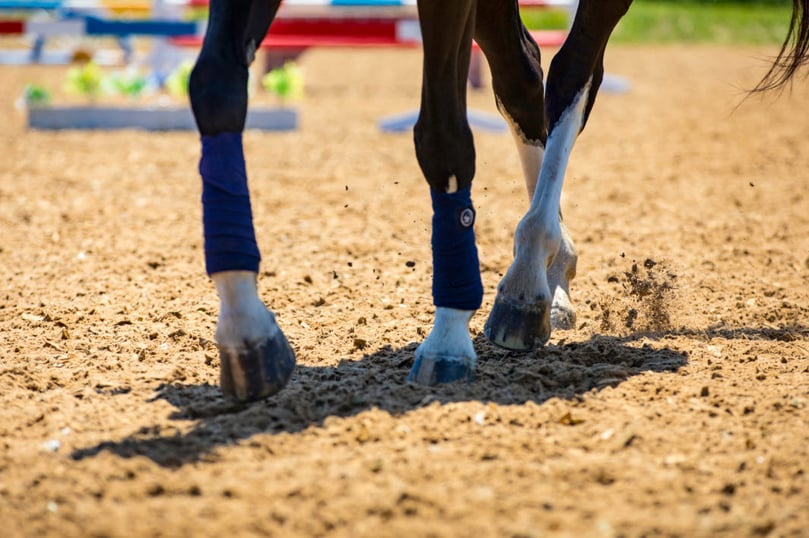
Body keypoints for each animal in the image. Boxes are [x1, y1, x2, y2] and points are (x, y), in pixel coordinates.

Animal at [188, 0, 809, 402]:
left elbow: (442, 137)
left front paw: (448, 338)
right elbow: (214, 88)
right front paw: (246, 331)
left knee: (572, 71)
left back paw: (527, 280)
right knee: (523, 70)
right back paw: (551, 274)